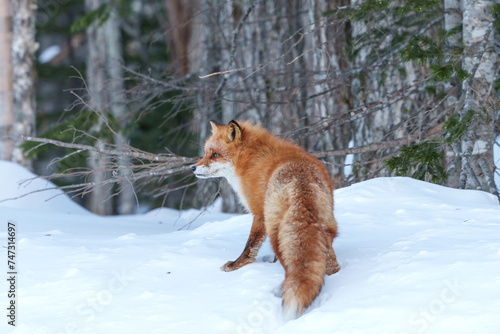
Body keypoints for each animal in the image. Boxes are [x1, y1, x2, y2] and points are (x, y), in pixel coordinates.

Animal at [190, 120, 340, 318]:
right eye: (206, 152)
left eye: (215, 155)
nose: (192, 167)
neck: (249, 159)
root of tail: (301, 184)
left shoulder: (259, 212)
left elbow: (250, 245)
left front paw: (237, 265)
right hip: (327, 228)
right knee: (330, 263)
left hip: (276, 232)